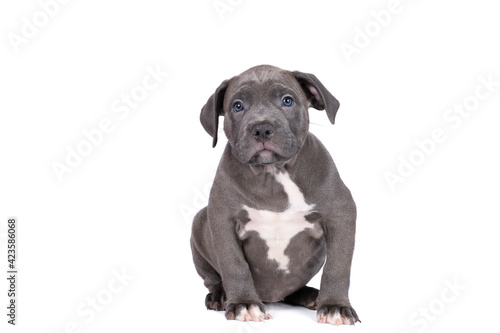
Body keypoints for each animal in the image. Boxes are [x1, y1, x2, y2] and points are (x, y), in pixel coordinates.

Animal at [190, 65, 360, 324]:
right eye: (238, 106)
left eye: (287, 100)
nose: (261, 128)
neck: (273, 173)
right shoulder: (221, 219)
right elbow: (234, 263)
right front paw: (244, 304)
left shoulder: (341, 214)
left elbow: (337, 266)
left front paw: (335, 306)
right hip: (199, 222)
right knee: (213, 279)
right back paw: (220, 295)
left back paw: (311, 296)